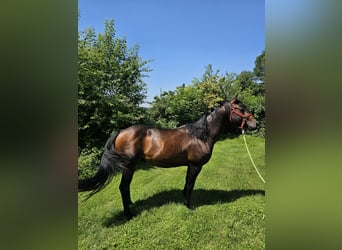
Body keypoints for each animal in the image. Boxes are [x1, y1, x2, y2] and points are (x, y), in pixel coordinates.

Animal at [79, 96, 256, 219]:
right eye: (241, 108)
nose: (255, 124)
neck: (200, 135)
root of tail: (121, 132)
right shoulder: (195, 165)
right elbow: (190, 185)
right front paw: (188, 206)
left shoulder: (190, 165)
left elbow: (186, 183)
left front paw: (183, 199)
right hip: (128, 167)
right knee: (123, 187)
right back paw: (128, 215)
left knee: (125, 188)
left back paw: (130, 205)